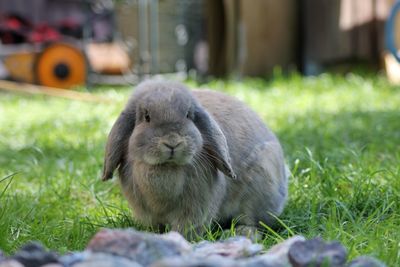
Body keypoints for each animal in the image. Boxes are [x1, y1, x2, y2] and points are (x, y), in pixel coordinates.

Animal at [101, 80, 290, 238]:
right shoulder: (147, 212)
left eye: (188, 115)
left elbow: (187, 228)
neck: (167, 167)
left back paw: (242, 233)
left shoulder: (195, 208)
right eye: (146, 117)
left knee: (254, 221)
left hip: (261, 184)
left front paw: (180, 239)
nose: (172, 142)